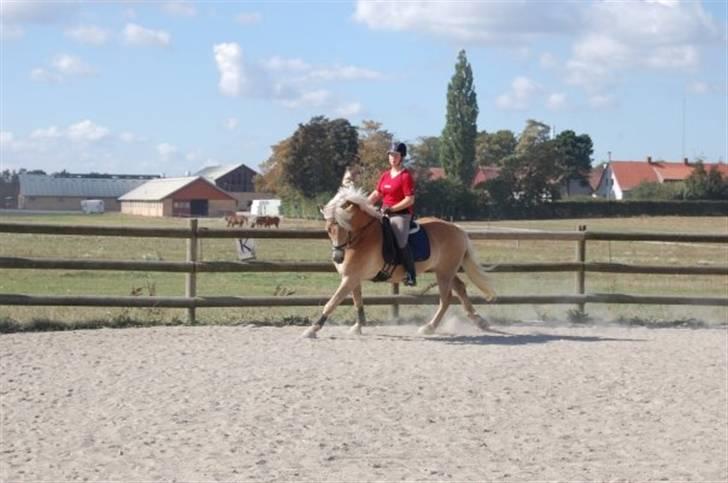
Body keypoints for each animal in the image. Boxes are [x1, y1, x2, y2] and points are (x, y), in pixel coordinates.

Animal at [300, 187, 494, 338]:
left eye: (346, 228)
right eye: (328, 230)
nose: (338, 258)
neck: (362, 236)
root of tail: (457, 229)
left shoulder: (350, 278)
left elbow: (332, 302)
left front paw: (313, 329)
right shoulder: (353, 278)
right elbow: (357, 301)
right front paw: (359, 326)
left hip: (444, 273)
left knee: (446, 299)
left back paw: (429, 327)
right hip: (444, 270)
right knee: (460, 288)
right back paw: (480, 321)